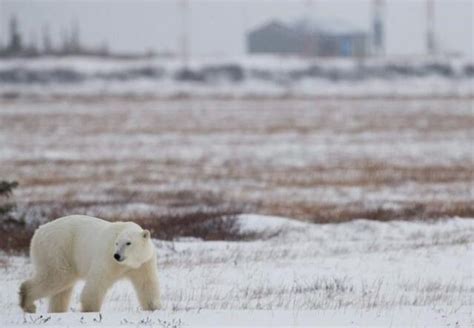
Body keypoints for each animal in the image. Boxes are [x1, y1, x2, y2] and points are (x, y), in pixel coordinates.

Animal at [19, 215, 161, 312]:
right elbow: (97, 282)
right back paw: (28, 304)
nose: (117, 255)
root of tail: (38, 231)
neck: (128, 264)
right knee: (57, 276)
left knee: (63, 288)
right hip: (57, 249)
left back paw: (57, 311)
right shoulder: (107, 258)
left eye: (128, 243)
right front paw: (90, 310)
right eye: (116, 243)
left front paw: (154, 307)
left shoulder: (144, 263)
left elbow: (146, 284)